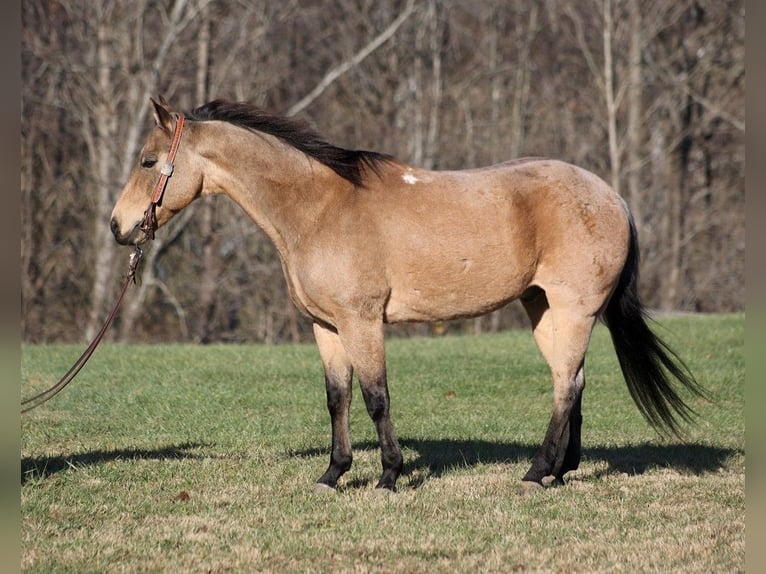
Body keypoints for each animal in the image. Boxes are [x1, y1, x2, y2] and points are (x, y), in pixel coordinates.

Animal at [109, 97, 708, 492]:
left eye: (146, 161)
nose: (118, 227)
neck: (320, 207)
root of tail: (612, 197)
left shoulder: (362, 322)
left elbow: (376, 396)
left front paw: (389, 476)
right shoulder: (326, 327)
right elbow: (338, 398)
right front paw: (332, 474)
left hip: (573, 308)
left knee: (566, 384)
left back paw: (537, 473)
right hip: (542, 308)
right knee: (575, 381)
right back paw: (562, 470)